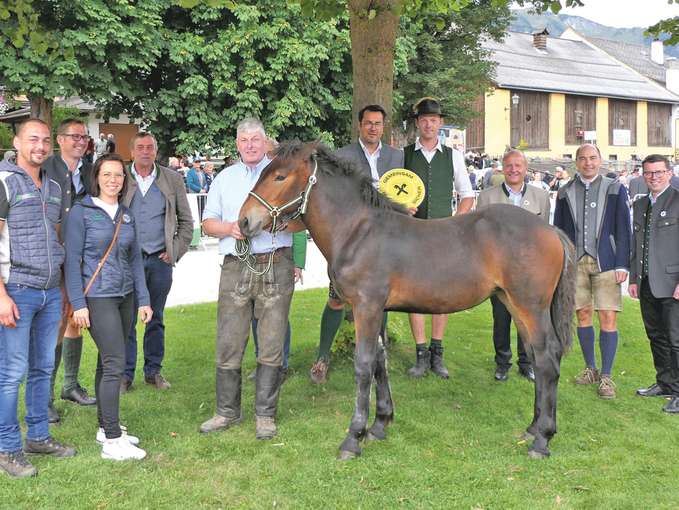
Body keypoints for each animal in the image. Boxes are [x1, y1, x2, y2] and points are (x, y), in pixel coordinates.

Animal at [238, 141, 572, 460]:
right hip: (513, 304)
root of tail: (551, 229)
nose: (243, 221)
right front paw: (380, 425)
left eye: (280, 176)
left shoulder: (366, 307)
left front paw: (353, 438)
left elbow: (363, 365)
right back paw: (533, 428)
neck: (357, 231)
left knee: (547, 359)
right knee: (539, 357)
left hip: (530, 307)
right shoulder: (374, 311)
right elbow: (379, 362)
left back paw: (542, 439)